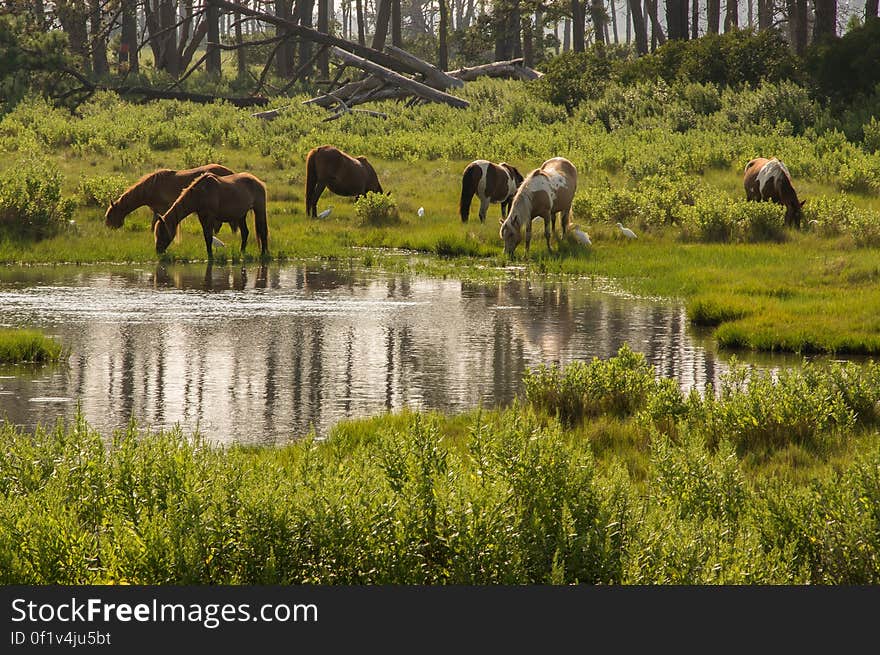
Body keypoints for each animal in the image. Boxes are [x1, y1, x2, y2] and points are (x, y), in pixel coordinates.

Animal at [104, 164, 234, 231]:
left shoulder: (162, 209)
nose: (108, 229)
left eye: (110, 215)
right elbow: (153, 224)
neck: (151, 187)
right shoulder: (156, 210)